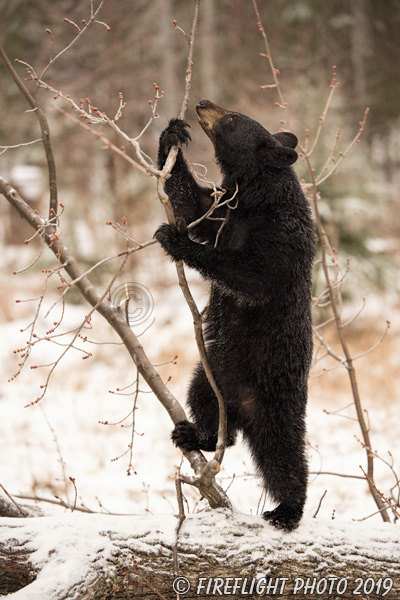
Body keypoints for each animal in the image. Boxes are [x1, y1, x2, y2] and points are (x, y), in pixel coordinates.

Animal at [155, 98, 316, 528]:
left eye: (232, 119)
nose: (202, 103)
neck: (256, 200)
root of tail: (242, 411)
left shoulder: (282, 237)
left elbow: (253, 277)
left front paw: (176, 239)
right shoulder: (223, 208)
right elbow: (190, 200)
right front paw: (172, 135)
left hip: (278, 401)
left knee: (284, 457)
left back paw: (287, 510)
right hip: (210, 374)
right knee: (208, 411)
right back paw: (196, 435)